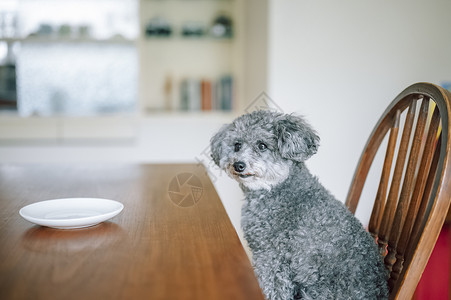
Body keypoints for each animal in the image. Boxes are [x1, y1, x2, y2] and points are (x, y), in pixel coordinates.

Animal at [210, 110, 386, 300]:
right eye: (237, 145)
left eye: (262, 145)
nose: (238, 165)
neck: (277, 188)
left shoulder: (271, 256)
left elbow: (273, 288)